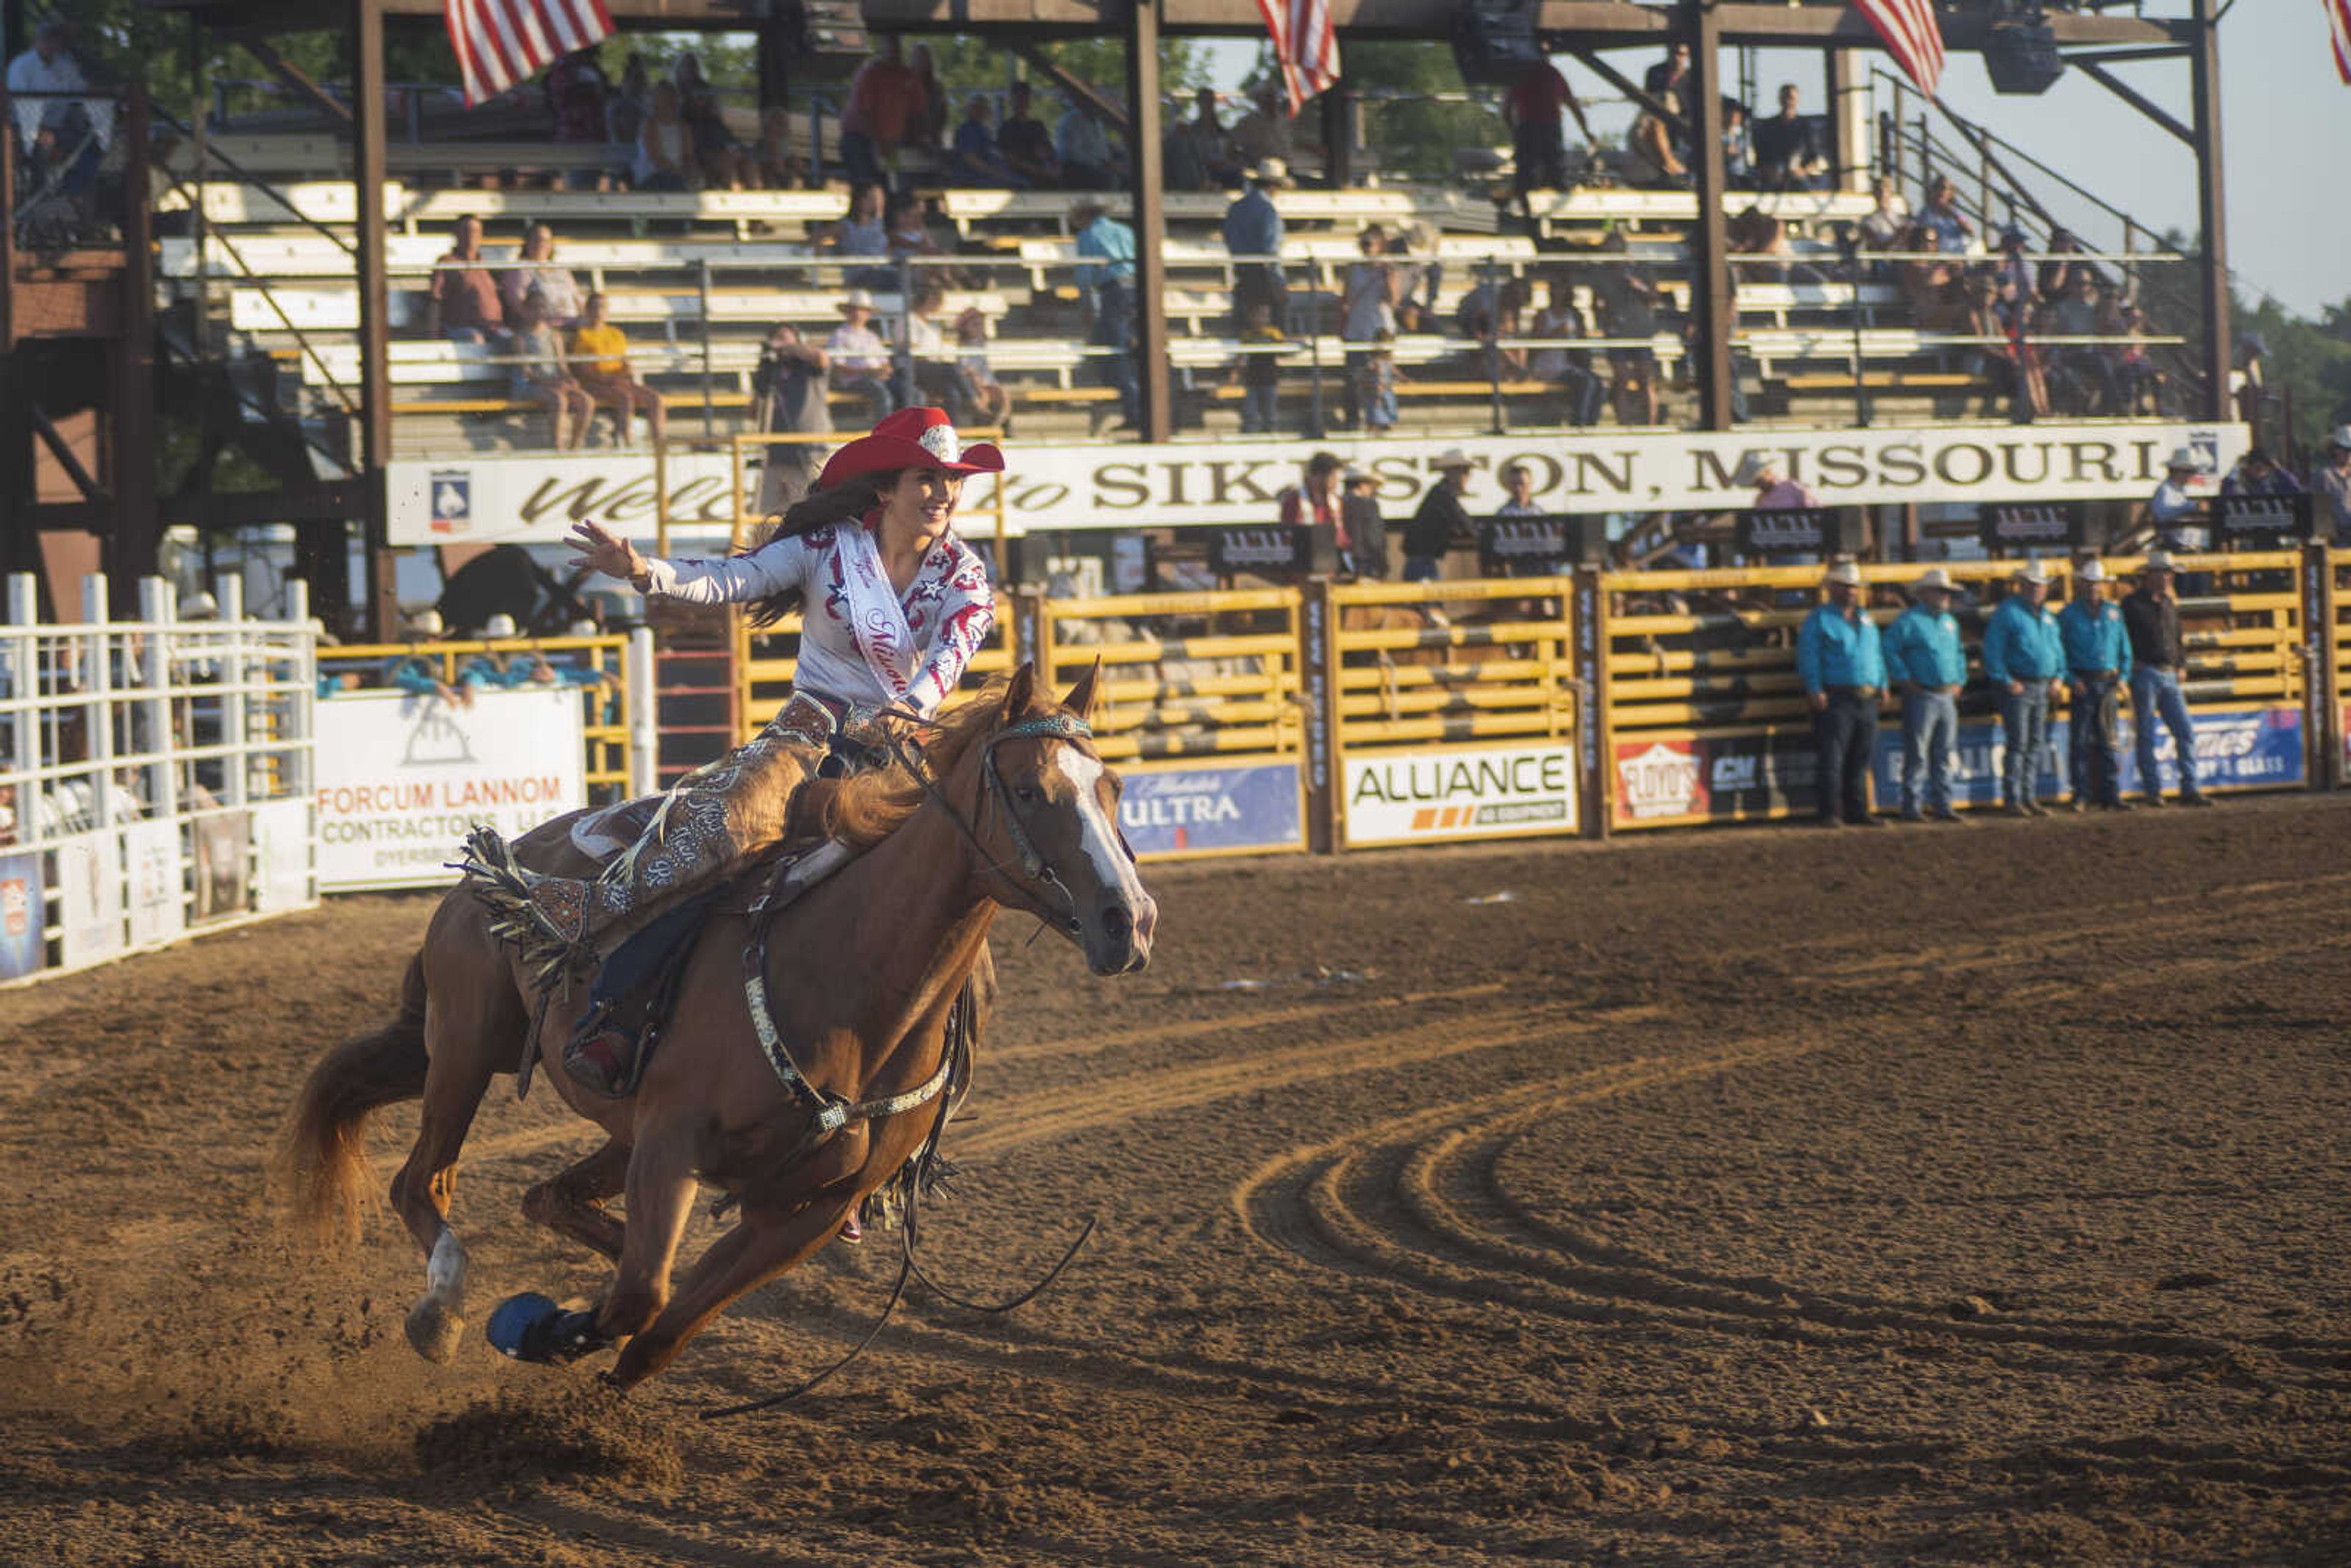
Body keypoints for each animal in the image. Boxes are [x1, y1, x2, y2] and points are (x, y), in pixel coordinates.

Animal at [284, 662, 1157, 1382]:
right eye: (1031, 791)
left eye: (1114, 788)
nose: (1129, 920)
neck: (850, 983)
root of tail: (491, 872)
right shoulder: (673, 1142)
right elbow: (641, 1297)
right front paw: (540, 1330)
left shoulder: (808, 1211)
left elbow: (660, 1332)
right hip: (467, 1048)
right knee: (422, 1181)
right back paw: (442, 1312)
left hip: (609, 1123)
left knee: (550, 1199)